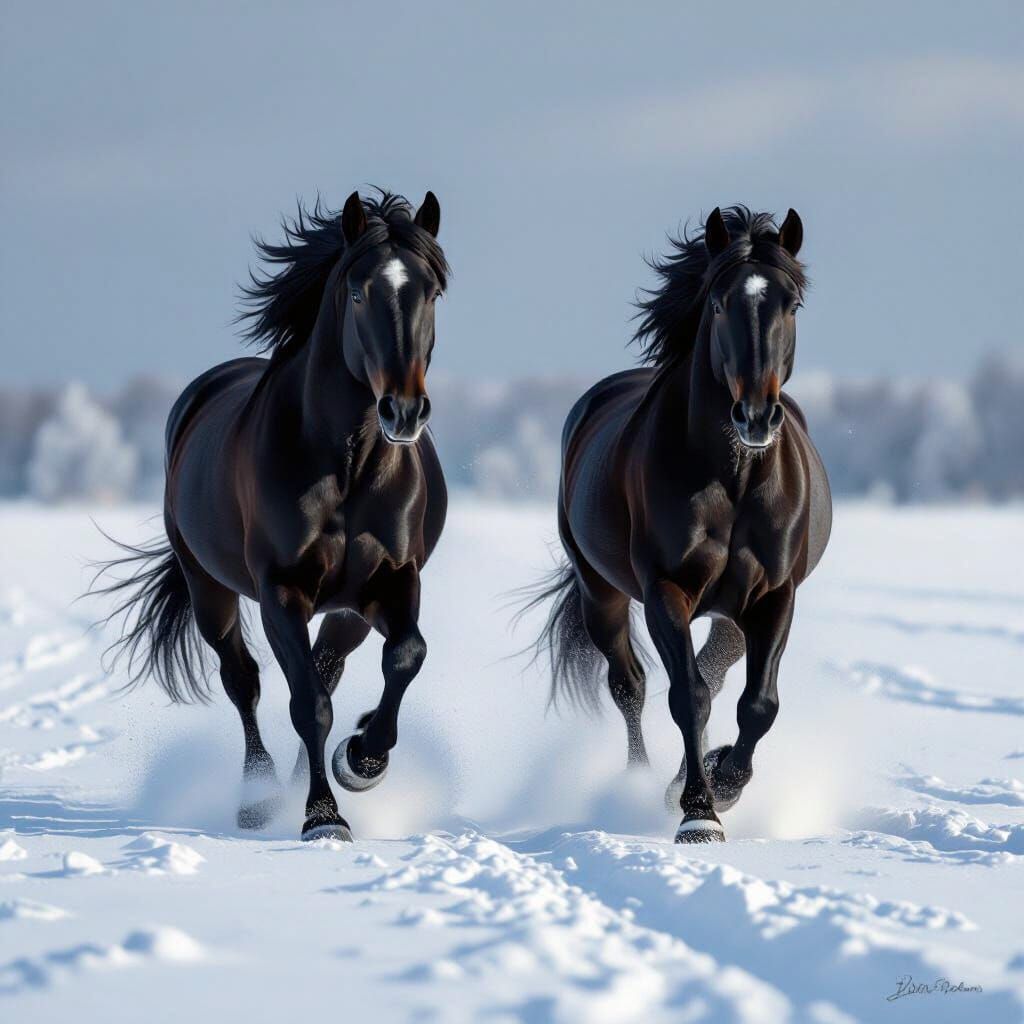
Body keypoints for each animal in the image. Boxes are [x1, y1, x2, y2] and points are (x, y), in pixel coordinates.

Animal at [94, 189, 450, 841]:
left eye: (431, 292)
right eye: (358, 292)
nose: (404, 411)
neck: (347, 468)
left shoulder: (392, 582)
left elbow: (404, 657)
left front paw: (361, 760)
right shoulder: (281, 593)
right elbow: (306, 705)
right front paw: (322, 817)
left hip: (348, 612)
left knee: (325, 668)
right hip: (210, 591)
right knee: (246, 682)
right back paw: (258, 801)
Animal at [528, 205, 832, 843]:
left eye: (792, 303)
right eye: (717, 303)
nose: (755, 416)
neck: (732, 480)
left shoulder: (774, 597)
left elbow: (757, 705)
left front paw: (725, 783)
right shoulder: (666, 591)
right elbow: (686, 697)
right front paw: (698, 812)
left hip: (734, 615)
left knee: (716, 674)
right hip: (602, 595)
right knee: (632, 687)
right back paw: (641, 782)